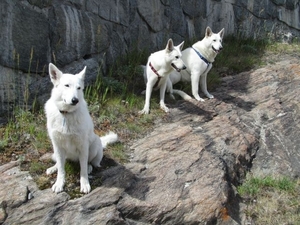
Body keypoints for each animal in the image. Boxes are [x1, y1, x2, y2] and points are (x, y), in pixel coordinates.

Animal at [45, 63, 118, 193]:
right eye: (67, 85)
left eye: (79, 88)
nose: (75, 100)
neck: (66, 114)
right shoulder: (57, 144)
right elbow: (61, 169)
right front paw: (59, 183)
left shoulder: (83, 146)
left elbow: (82, 167)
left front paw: (84, 183)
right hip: (56, 151)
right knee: (60, 162)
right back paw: (53, 167)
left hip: (93, 146)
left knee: (90, 163)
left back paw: (89, 167)